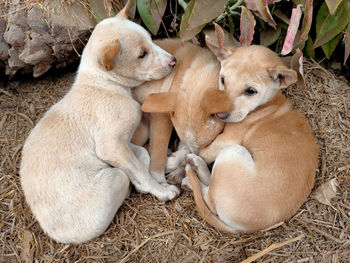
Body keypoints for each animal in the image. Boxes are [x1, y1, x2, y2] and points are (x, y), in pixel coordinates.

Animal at [19, 1, 179, 245]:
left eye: (152, 40)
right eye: (142, 54)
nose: (174, 61)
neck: (105, 83)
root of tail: (53, 233)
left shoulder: (117, 144)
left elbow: (141, 154)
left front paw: (146, 179)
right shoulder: (110, 145)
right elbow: (138, 168)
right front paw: (158, 190)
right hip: (115, 179)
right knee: (123, 176)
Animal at [183, 36, 320, 233]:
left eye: (250, 91)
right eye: (222, 80)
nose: (220, 115)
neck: (268, 104)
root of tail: (247, 229)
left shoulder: (226, 140)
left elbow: (204, 151)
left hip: (232, 152)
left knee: (209, 197)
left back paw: (192, 173)